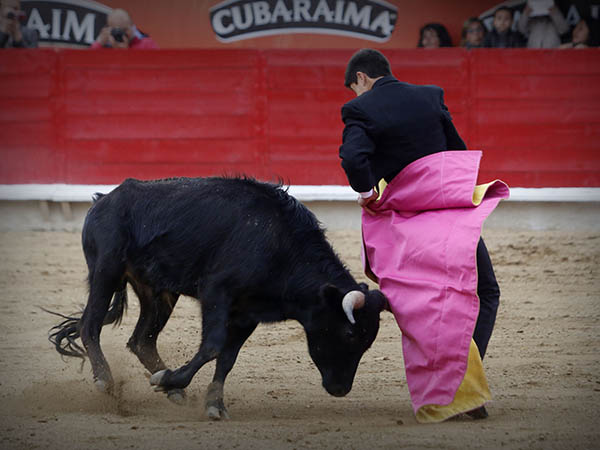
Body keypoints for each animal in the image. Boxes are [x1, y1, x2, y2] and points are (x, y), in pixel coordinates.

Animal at [49, 176, 386, 418]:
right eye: (348, 333)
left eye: (367, 341)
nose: (341, 389)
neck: (279, 247)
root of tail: (102, 200)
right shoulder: (216, 293)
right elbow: (212, 346)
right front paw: (170, 380)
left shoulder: (247, 314)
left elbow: (227, 358)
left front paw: (210, 402)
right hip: (106, 270)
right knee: (90, 325)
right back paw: (105, 380)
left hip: (158, 292)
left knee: (142, 340)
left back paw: (171, 388)